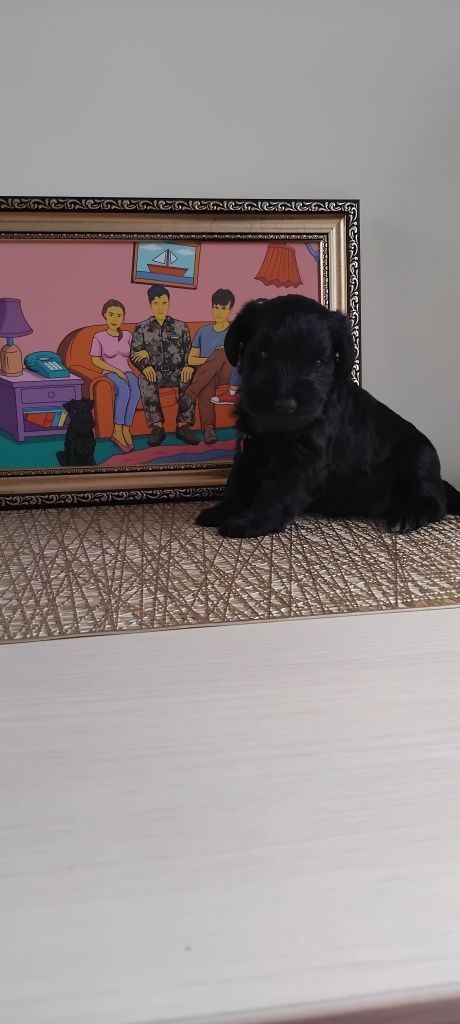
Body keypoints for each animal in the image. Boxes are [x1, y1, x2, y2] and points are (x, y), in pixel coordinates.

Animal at [196, 294, 460, 538]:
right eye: (263, 354)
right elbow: (238, 482)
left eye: (318, 362)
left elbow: (276, 494)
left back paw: (407, 515)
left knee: (436, 501)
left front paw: (251, 521)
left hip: (419, 456)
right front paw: (223, 511)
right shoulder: (248, 448)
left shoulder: (303, 462)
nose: (285, 405)